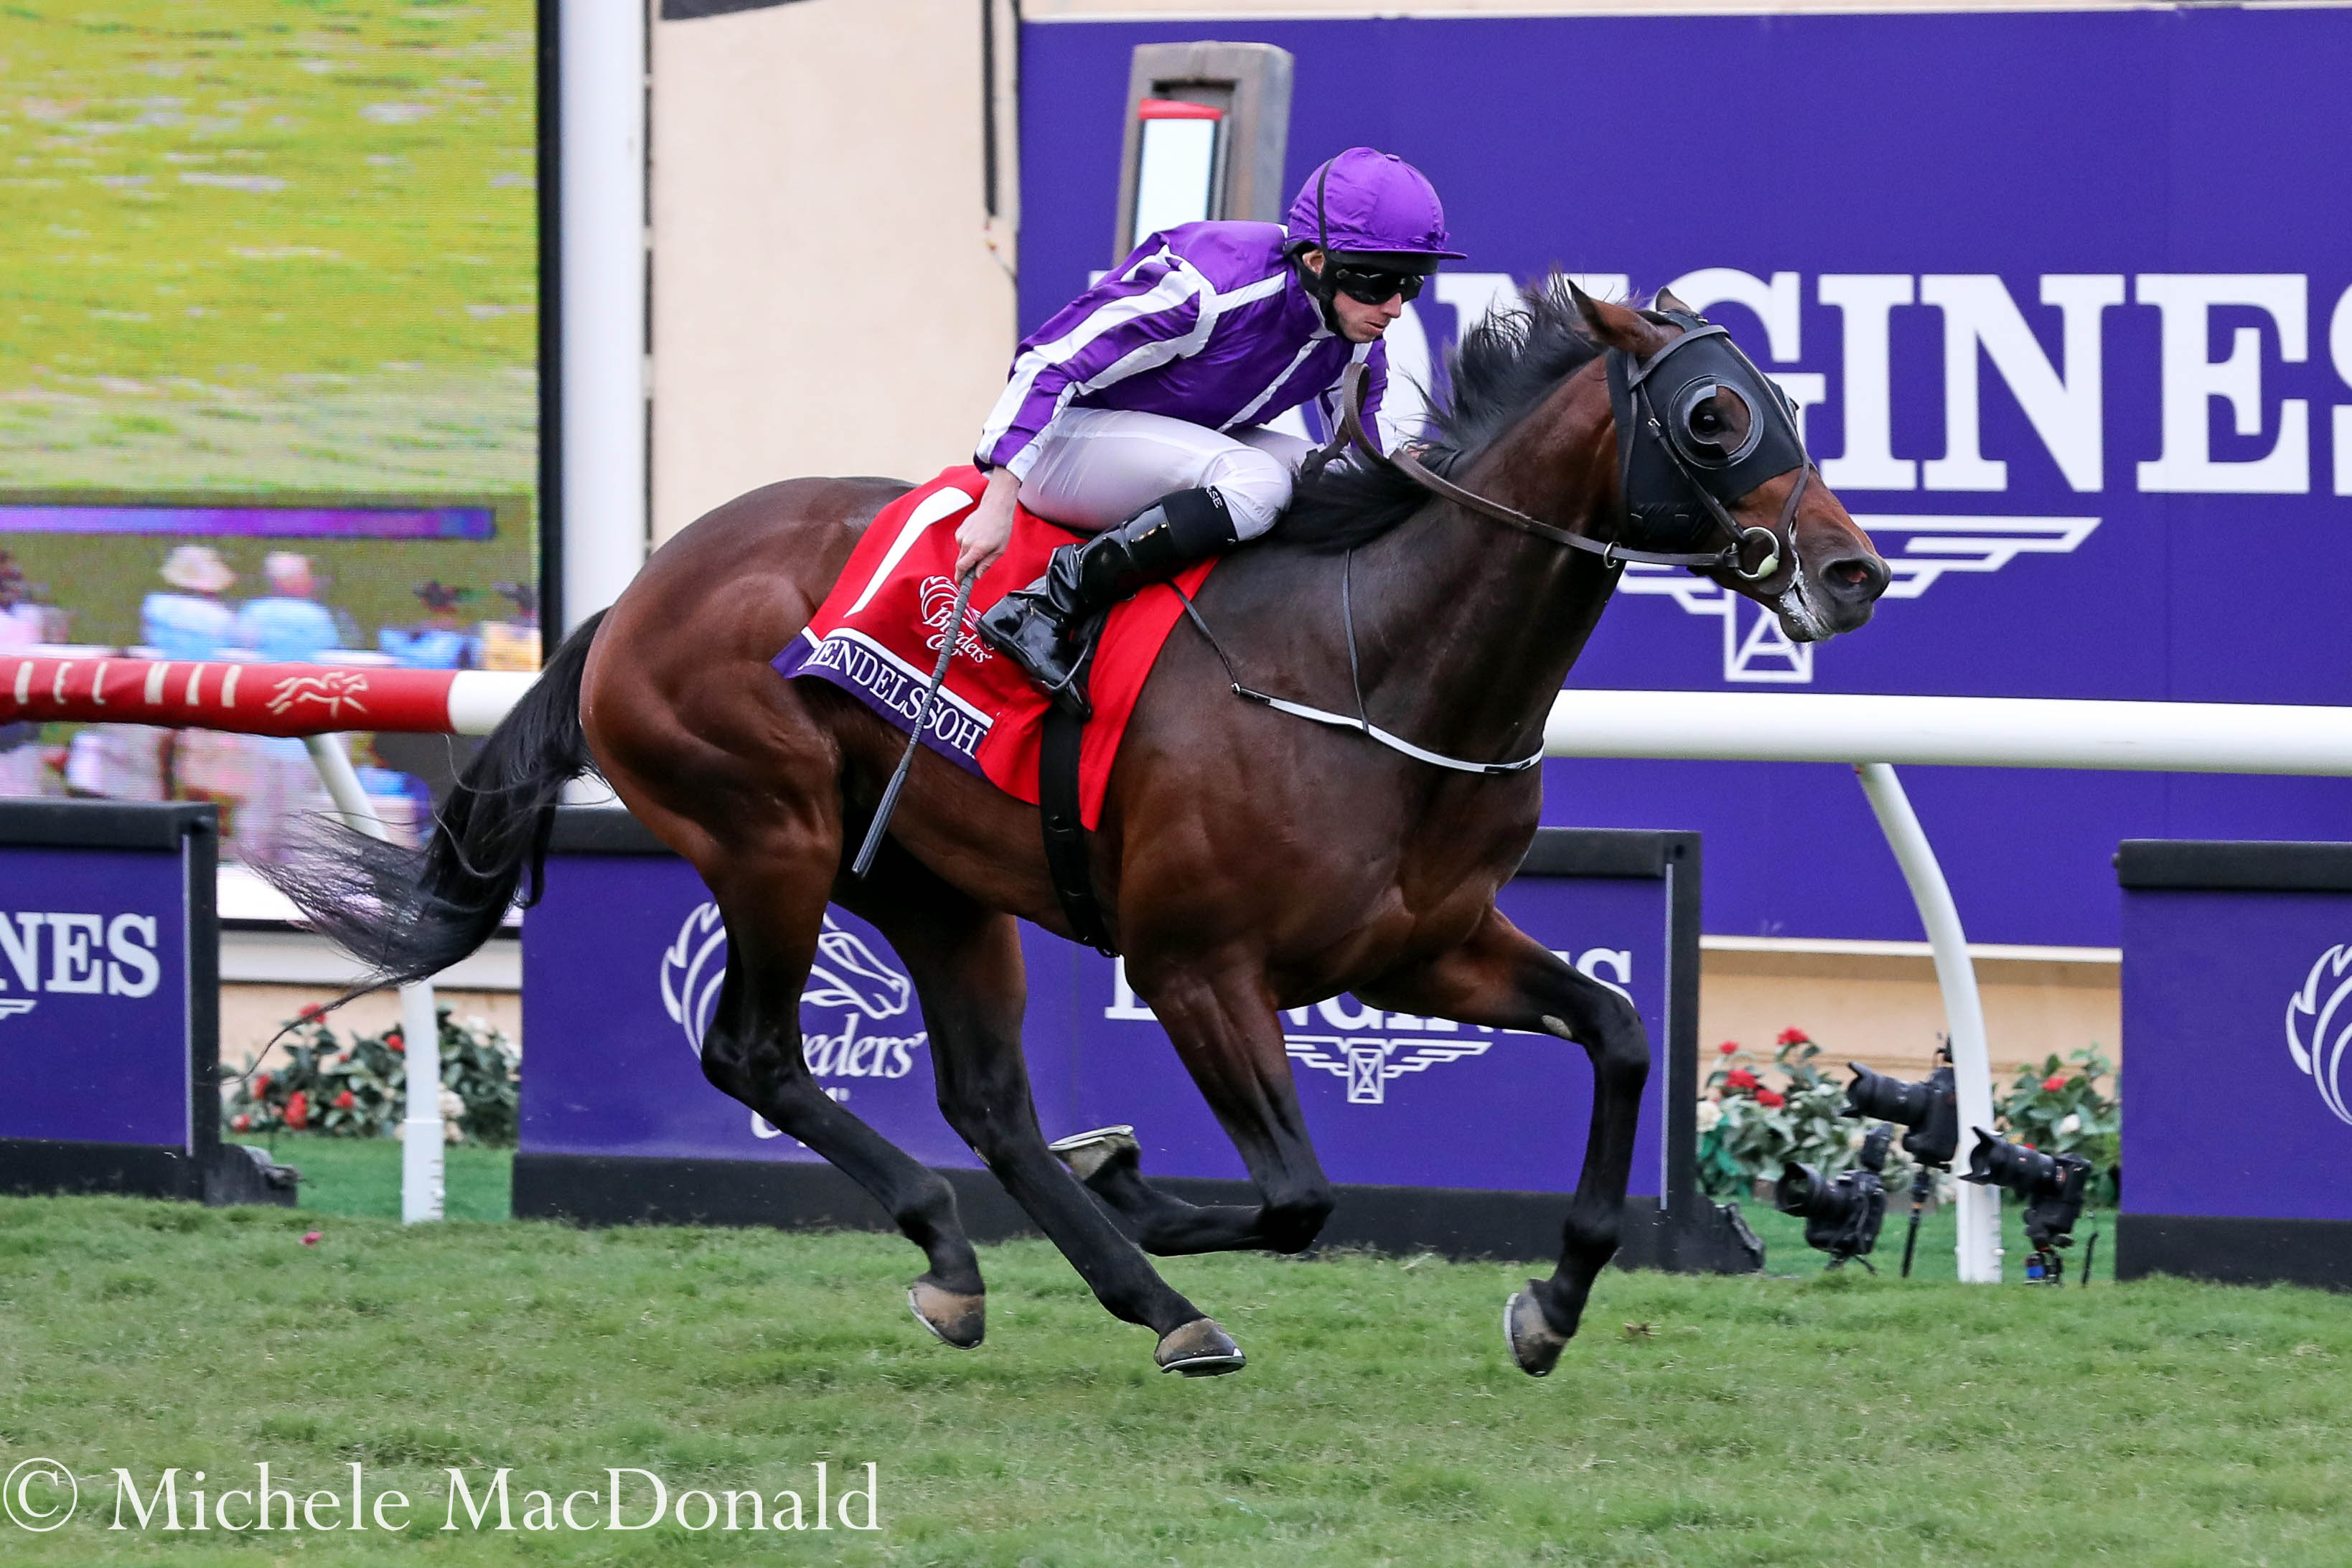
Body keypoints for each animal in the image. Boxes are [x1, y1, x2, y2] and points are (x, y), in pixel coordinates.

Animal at [279, 282, 1890, 1373]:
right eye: (1712, 415)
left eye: (1793, 403)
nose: (1852, 570)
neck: (1370, 657)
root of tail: (636, 594)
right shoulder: (1194, 964)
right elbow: (1297, 1194)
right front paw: (1145, 1186)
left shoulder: (1425, 947)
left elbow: (1618, 1034)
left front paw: (1551, 1305)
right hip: (768, 836)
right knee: (755, 1052)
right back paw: (1013, 1257)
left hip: (932, 885)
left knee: (989, 1100)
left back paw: (1098, 1289)